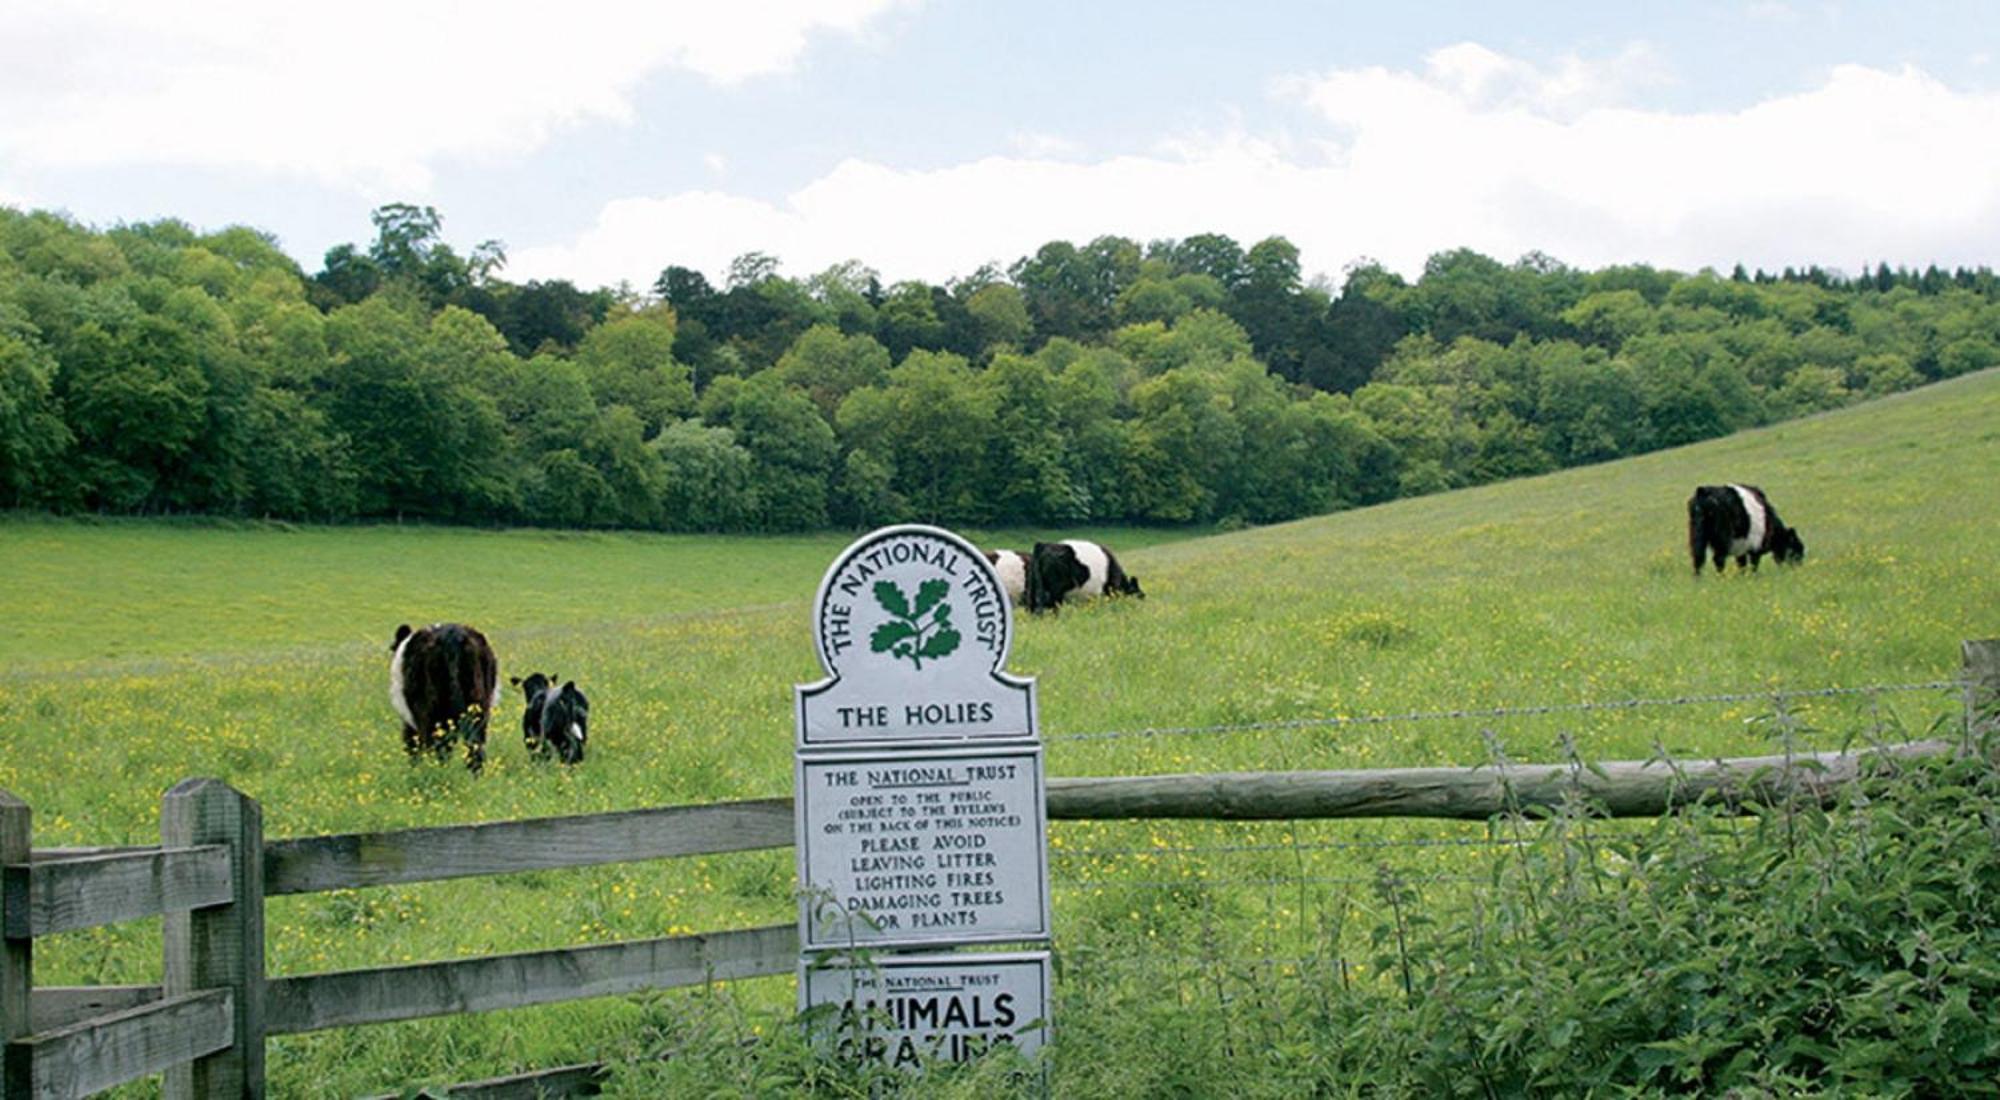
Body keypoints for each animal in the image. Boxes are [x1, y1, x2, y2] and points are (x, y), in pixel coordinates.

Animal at [388, 620, 500, 776]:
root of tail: (453, 637)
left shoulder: (410, 722)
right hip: (479, 708)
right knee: (475, 750)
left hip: (431, 715)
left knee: (436, 748)